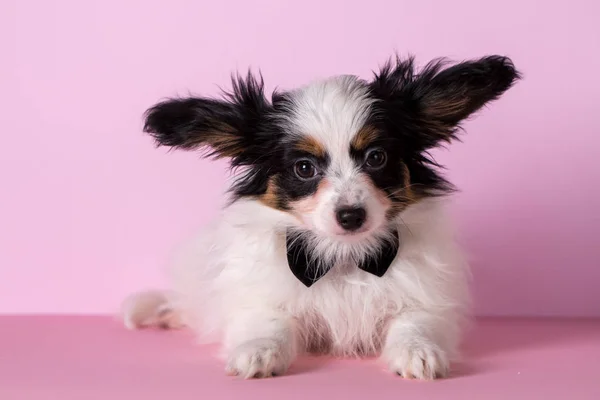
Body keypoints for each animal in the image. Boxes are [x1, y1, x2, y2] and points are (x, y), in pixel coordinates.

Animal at [122, 54, 520, 380]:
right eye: (304, 168)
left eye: (376, 157)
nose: (351, 216)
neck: (344, 258)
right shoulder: (259, 297)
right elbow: (269, 322)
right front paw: (257, 352)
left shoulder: (427, 299)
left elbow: (415, 323)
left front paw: (419, 353)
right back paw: (162, 311)